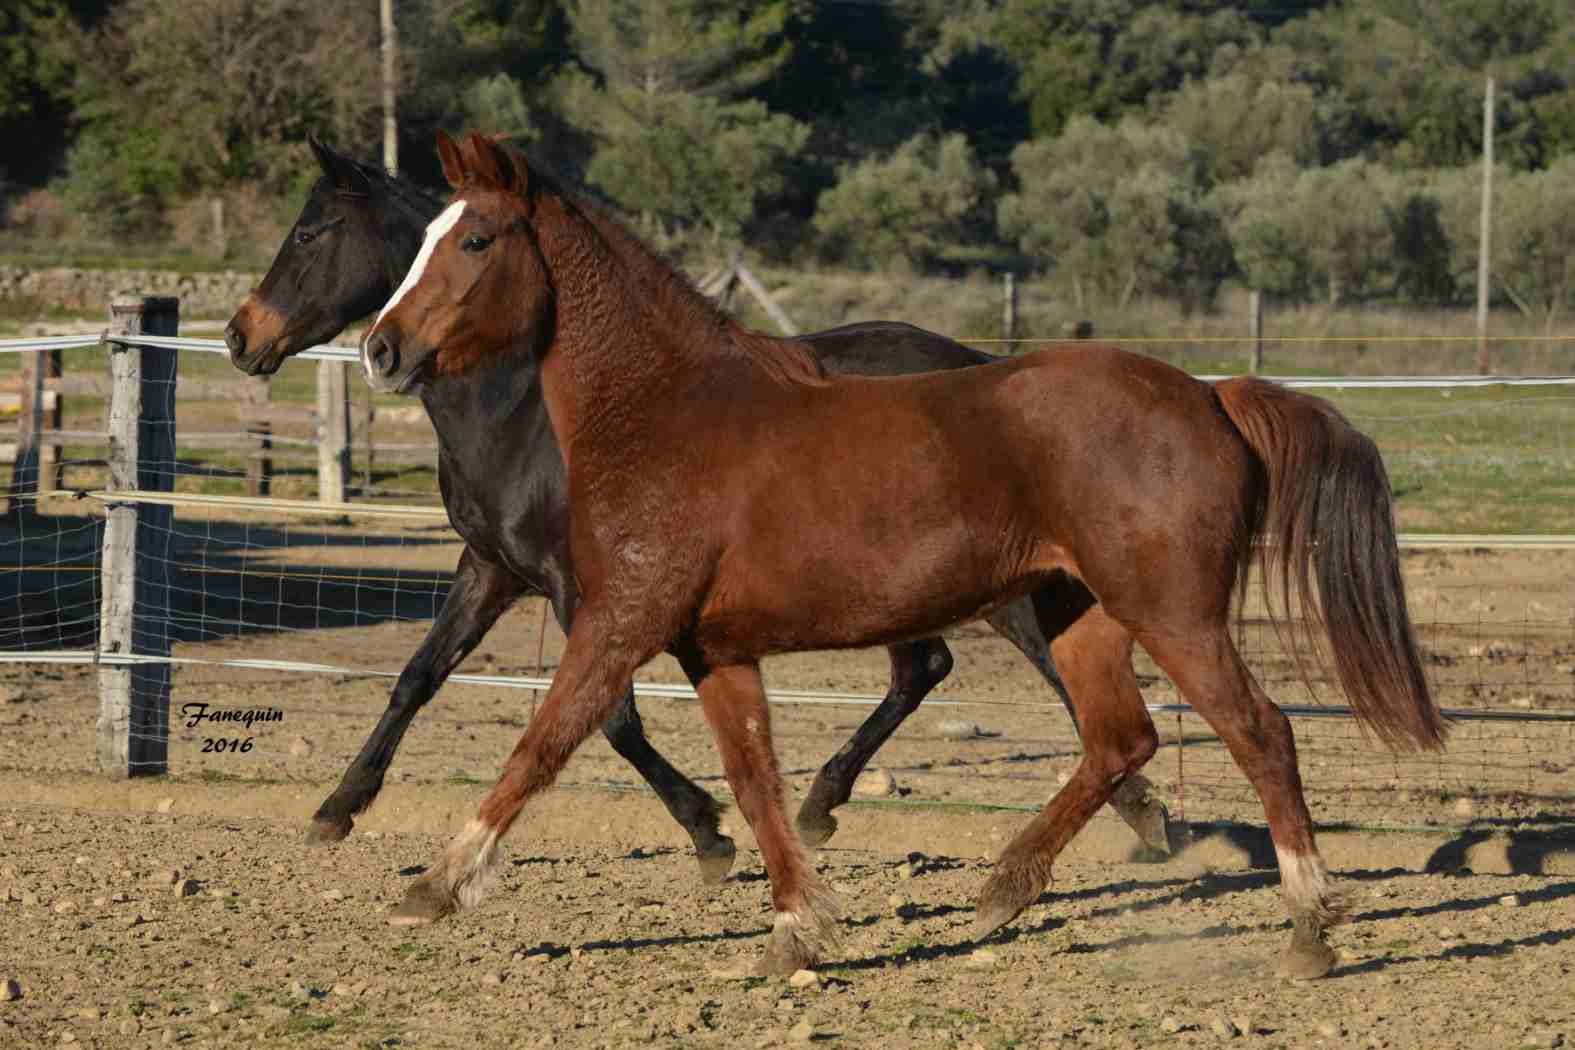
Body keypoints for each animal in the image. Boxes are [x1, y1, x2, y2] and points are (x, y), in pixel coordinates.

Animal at [362, 131, 1442, 976]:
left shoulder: (620, 619)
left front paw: (433, 885)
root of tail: (1212, 396)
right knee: (1120, 739)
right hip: (1079, 613)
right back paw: (1003, 891)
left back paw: (1309, 930)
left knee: (1260, 733)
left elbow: (543, 742)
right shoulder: (715, 649)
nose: (380, 349)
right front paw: (796, 929)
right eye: (421, 237)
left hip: (1171, 611)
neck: (665, 411)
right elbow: (754, 781)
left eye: (475, 237)